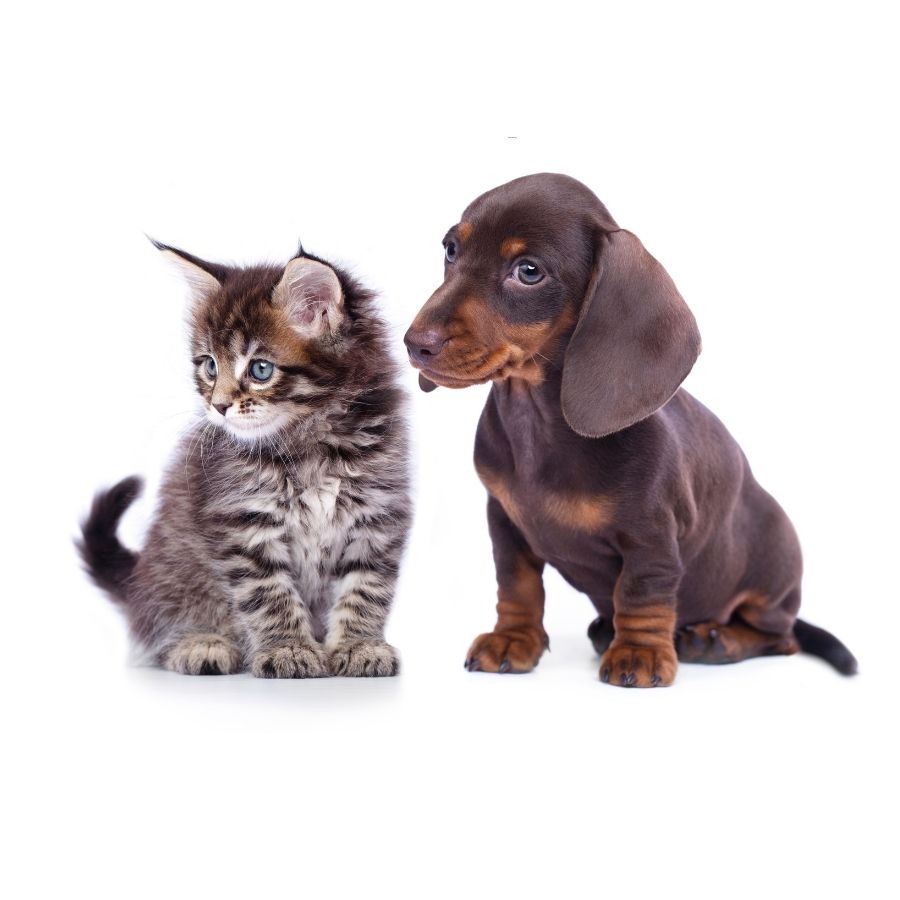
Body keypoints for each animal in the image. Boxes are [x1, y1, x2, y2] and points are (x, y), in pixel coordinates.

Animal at [79, 243, 414, 680]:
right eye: (209, 366)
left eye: (260, 369)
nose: (218, 406)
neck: (312, 444)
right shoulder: (243, 523)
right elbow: (270, 595)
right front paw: (288, 649)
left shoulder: (377, 514)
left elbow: (365, 588)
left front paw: (359, 646)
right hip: (173, 576)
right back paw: (202, 644)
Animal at [406, 172, 856, 684]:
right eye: (451, 249)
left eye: (528, 271)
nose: (415, 344)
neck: (536, 418)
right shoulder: (504, 522)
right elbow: (517, 585)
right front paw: (513, 639)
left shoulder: (651, 538)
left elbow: (641, 594)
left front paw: (639, 653)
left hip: (772, 577)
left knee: (781, 637)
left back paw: (714, 639)